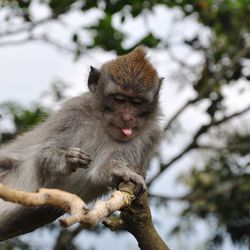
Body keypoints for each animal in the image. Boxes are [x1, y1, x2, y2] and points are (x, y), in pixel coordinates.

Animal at [0, 47, 162, 240]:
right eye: (119, 99)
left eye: (137, 102)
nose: (127, 117)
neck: (102, 124)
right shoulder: (73, 112)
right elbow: (42, 157)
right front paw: (66, 159)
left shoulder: (148, 136)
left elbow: (99, 172)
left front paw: (117, 170)